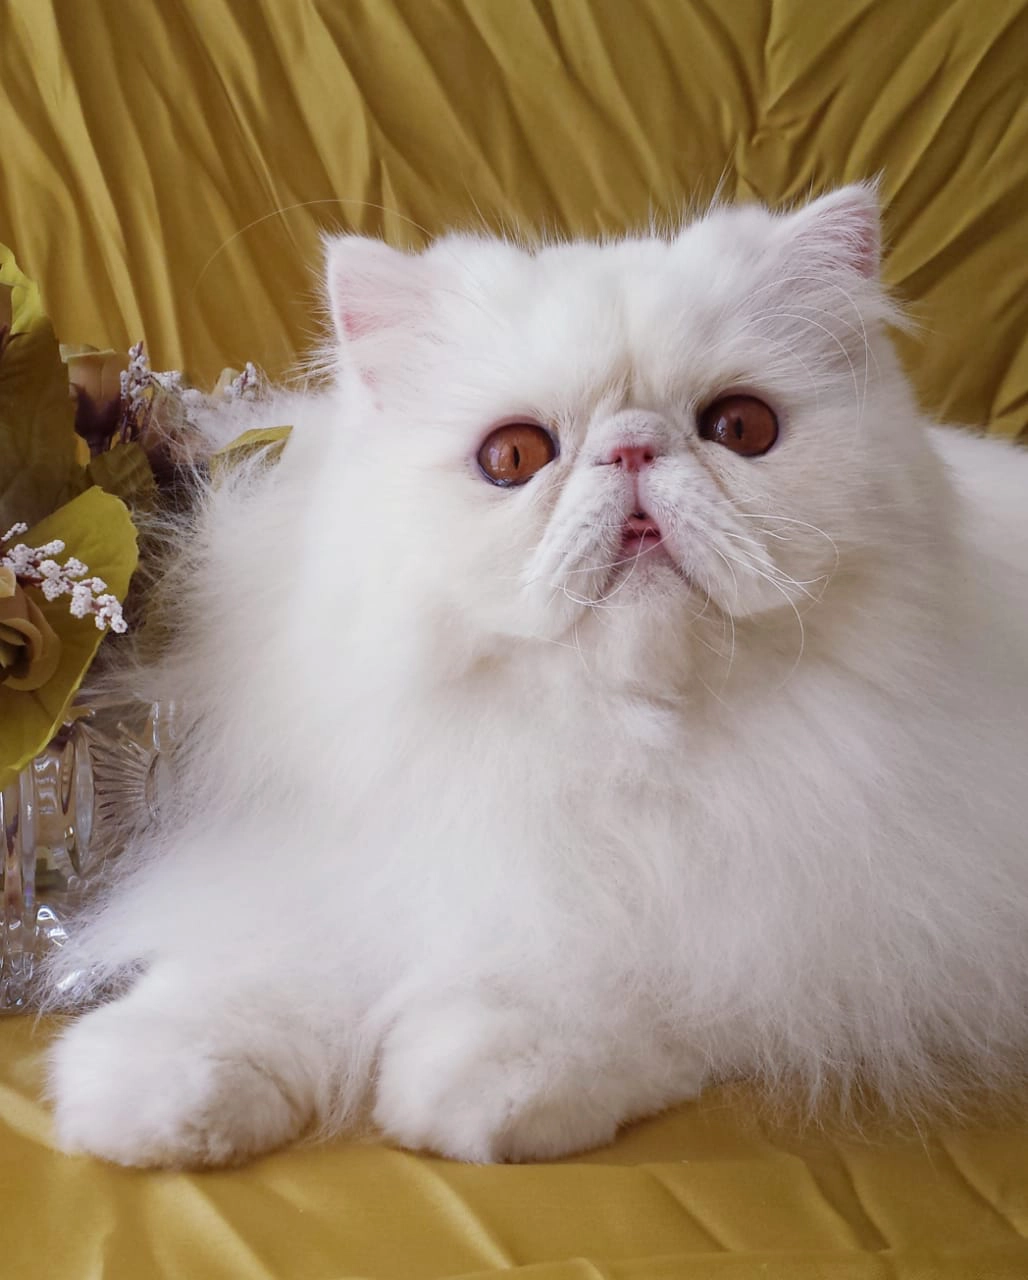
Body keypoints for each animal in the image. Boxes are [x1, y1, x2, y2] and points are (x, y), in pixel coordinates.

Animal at [46, 184, 1028, 1168]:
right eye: (513, 456)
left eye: (742, 429)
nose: (633, 449)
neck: (604, 750)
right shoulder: (347, 864)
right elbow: (260, 971)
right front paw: (156, 1096)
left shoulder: (793, 931)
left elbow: (613, 984)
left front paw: (483, 1083)